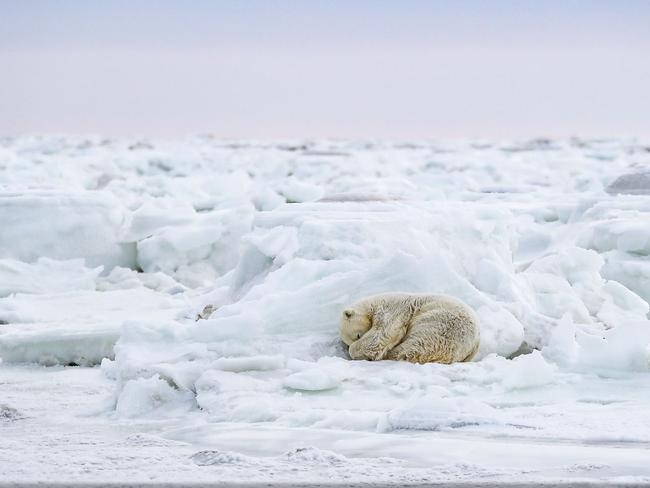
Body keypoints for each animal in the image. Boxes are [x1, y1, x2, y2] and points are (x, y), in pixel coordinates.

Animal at [336, 292, 478, 364]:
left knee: (416, 346)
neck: (373, 304)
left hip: (439, 324)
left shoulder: (392, 309)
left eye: (358, 335)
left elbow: (382, 334)